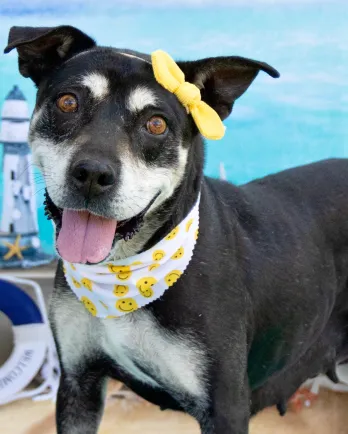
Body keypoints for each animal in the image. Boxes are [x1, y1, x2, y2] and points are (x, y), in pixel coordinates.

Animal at [4, 25, 348, 432]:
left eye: (156, 124)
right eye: (68, 102)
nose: (92, 174)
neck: (125, 275)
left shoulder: (225, 406)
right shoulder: (78, 382)